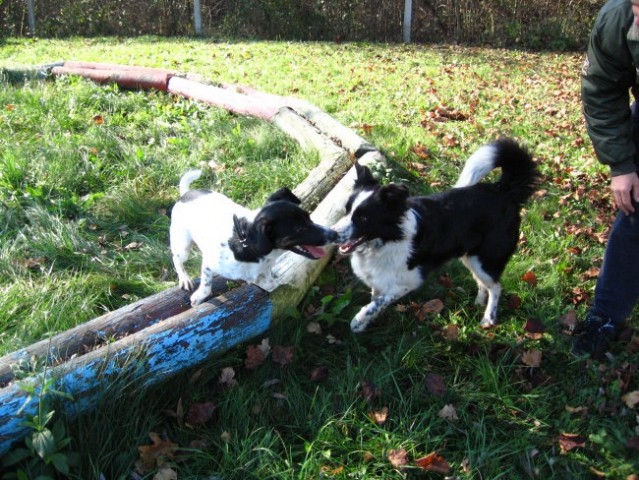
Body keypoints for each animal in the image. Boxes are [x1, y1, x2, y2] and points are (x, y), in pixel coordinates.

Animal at [170, 171, 340, 306]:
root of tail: (185, 195)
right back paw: (184, 279)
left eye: (309, 217)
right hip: (183, 246)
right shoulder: (209, 264)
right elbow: (206, 285)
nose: (335, 234)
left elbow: (270, 282)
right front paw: (198, 297)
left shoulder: (265, 272)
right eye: (300, 229)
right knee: (176, 258)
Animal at [336, 139, 540, 332]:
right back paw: (478, 303)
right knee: (484, 284)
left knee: (496, 287)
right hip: (471, 257)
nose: (331, 232)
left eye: (363, 218)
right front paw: (367, 322)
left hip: (486, 259)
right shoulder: (379, 280)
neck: (388, 240)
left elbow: (378, 302)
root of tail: (504, 191)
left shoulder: (408, 281)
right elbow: (375, 301)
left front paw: (358, 320)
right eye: (346, 210)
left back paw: (488, 318)